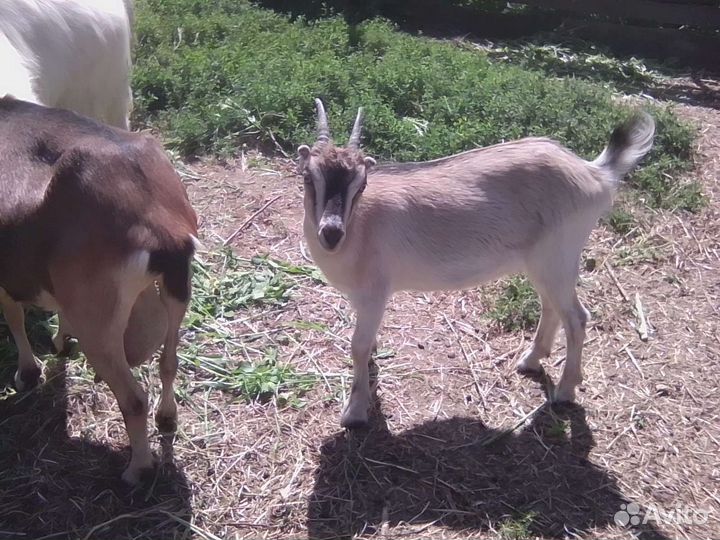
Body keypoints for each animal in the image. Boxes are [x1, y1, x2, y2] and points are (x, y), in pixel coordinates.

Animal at [0, 96, 198, 483]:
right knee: (169, 362)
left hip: (98, 319)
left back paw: (136, 471)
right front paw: (61, 343)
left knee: (134, 398)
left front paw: (28, 373)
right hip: (175, 291)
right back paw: (167, 418)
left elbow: (14, 316)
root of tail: (162, 227)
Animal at [298, 98, 654, 428]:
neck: (360, 226)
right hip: (542, 263)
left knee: (577, 318)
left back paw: (564, 391)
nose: (331, 233)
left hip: (557, 257)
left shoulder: (375, 292)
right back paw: (530, 360)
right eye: (308, 177)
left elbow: (357, 346)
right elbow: (366, 344)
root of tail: (594, 172)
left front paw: (355, 412)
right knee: (552, 307)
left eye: (361, 184)